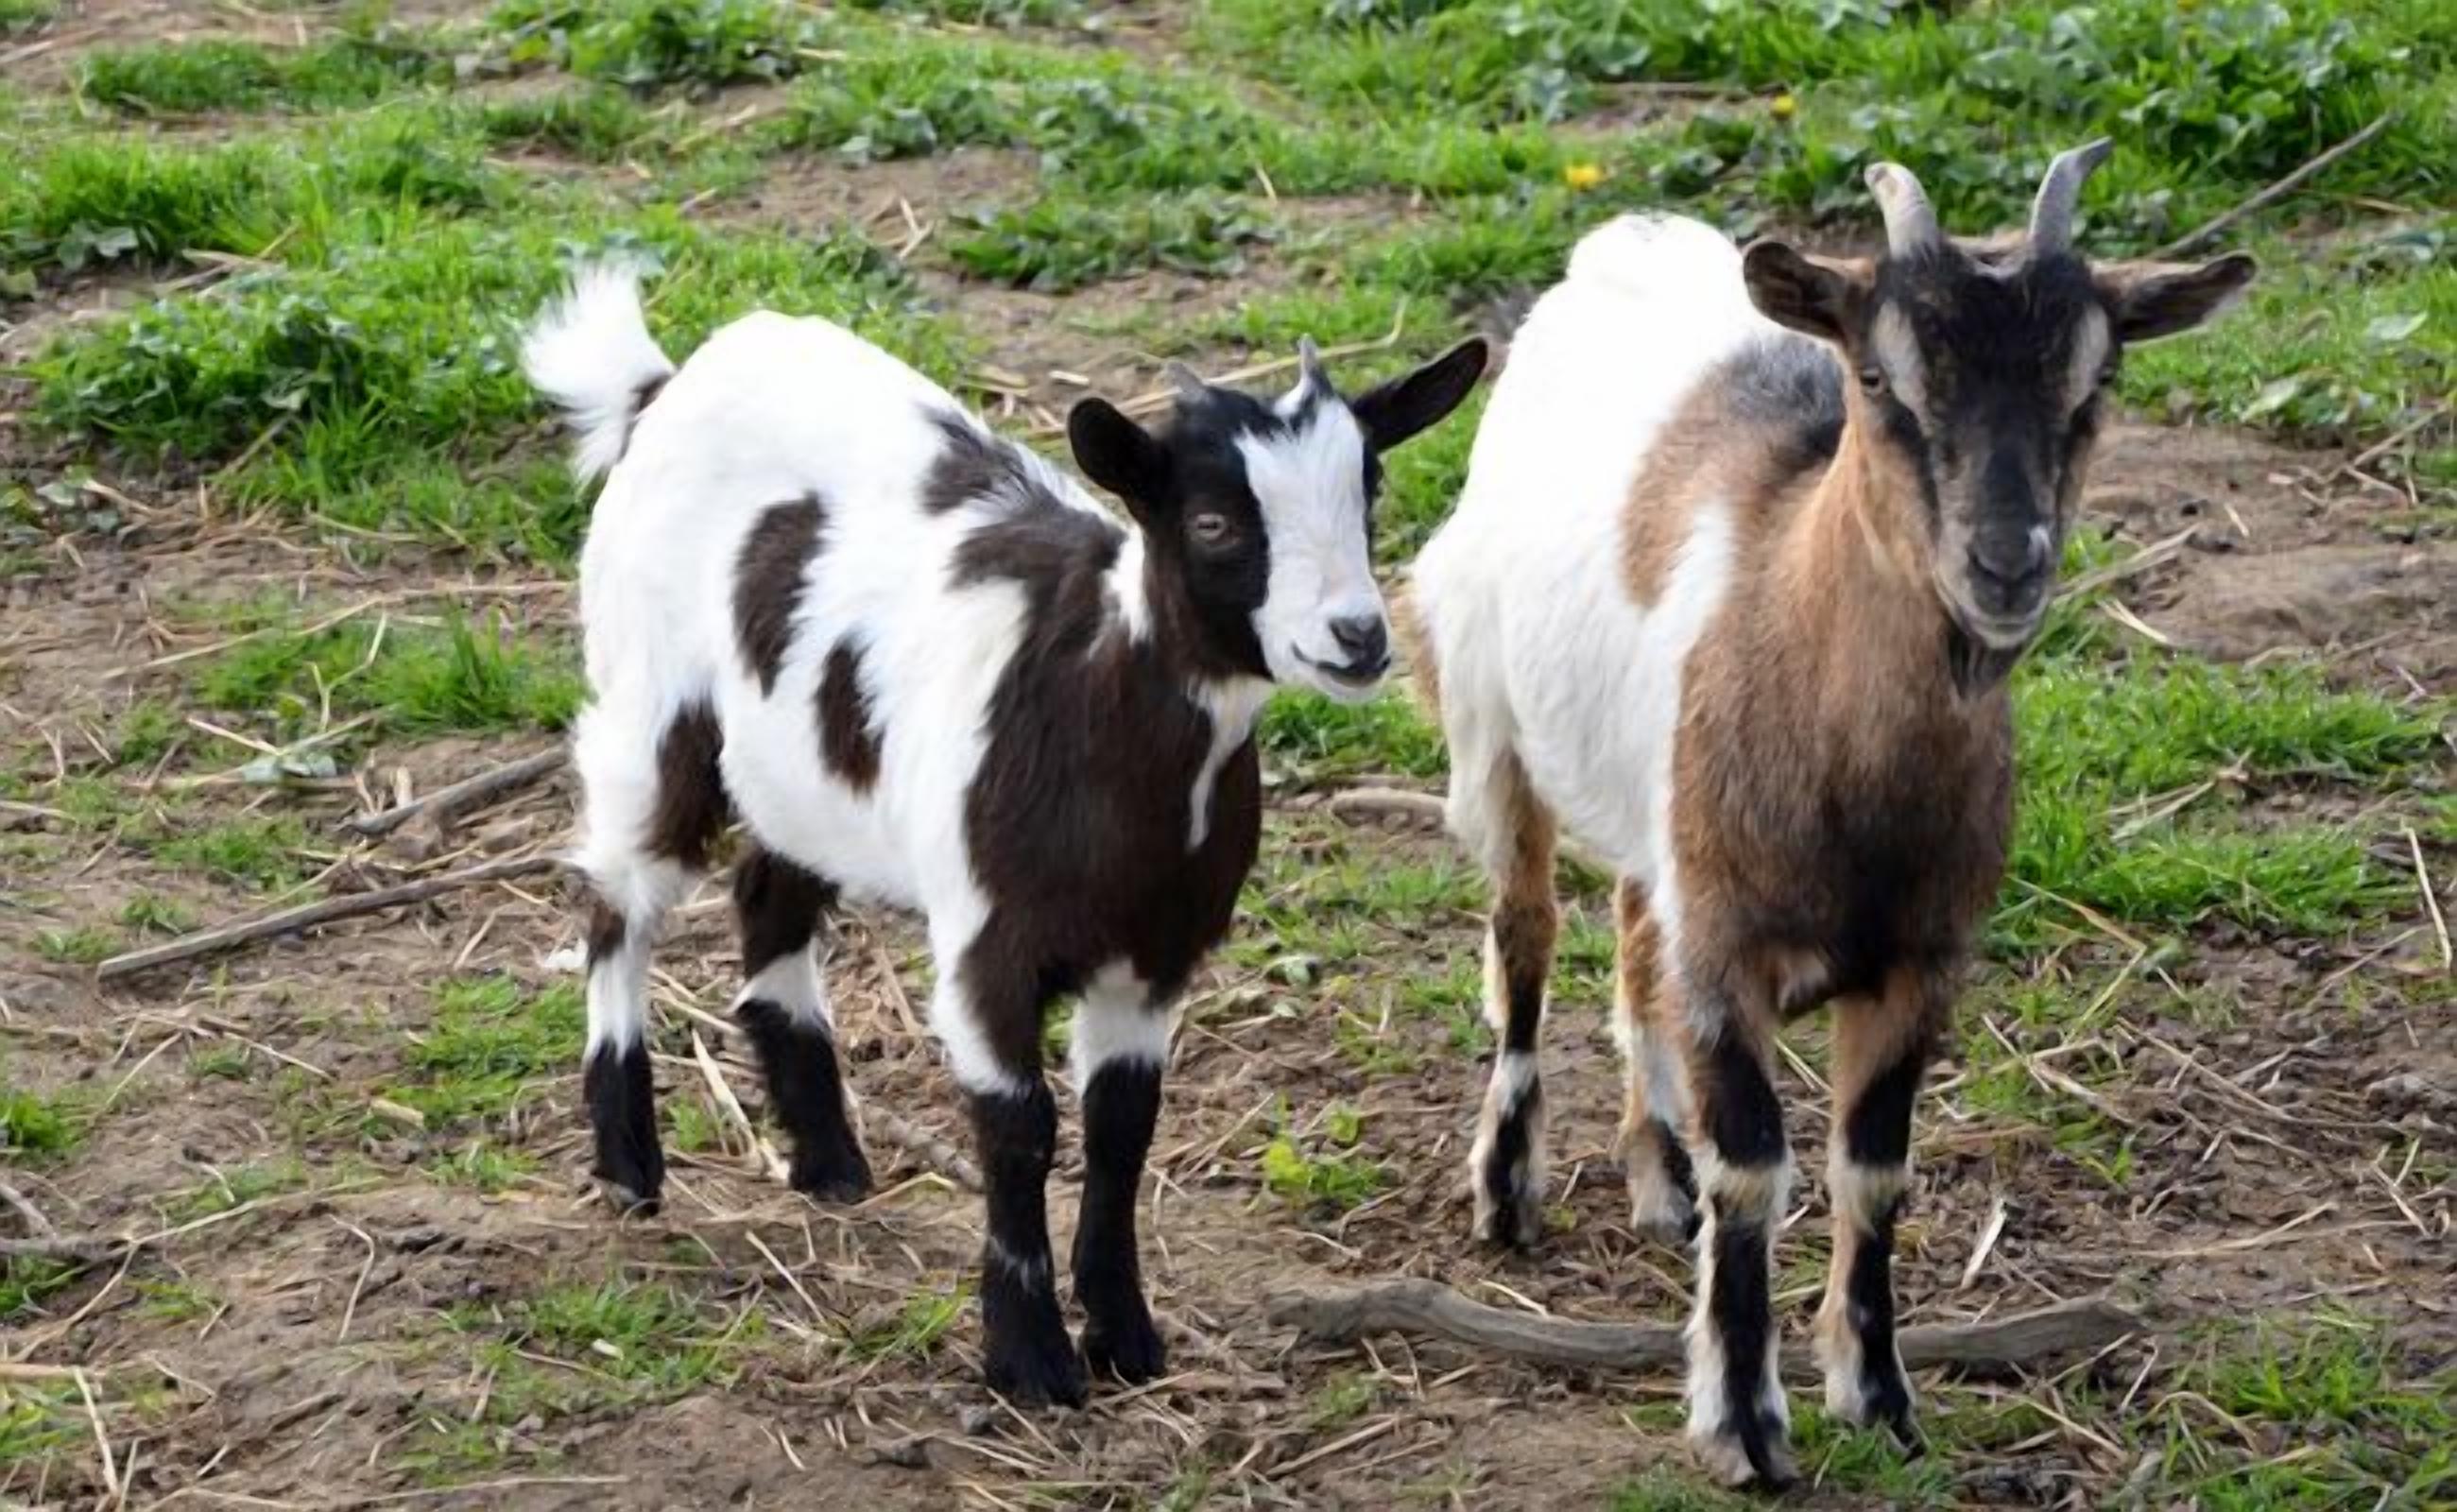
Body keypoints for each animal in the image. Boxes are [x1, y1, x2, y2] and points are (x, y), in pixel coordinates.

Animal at [523, 267, 1486, 1407]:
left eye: (1368, 491)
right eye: (1212, 522)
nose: (1358, 637)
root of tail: (667, 382)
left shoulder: (1153, 956)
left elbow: (1121, 1128)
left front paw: (1123, 1334)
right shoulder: (990, 940)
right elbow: (1019, 1126)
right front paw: (1029, 1357)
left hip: (803, 764)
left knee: (768, 896)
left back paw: (829, 1162)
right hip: (651, 704)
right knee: (617, 902)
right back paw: (630, 1163)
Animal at [1402, 143, 2251, 1485]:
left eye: (2096, 379)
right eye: (1876, 376)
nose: (2004, 562)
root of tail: (1630, 237)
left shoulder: (1916, 959)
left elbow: (1873, 1168)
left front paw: (1877, 1391)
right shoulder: (1726, 952)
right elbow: (1756, 1171)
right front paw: (1744, 1424)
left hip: (1652, 810)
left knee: (1631, 938)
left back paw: (1656, 1174)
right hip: (1490, 724)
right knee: (1523, 936)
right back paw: (1506, 1185)